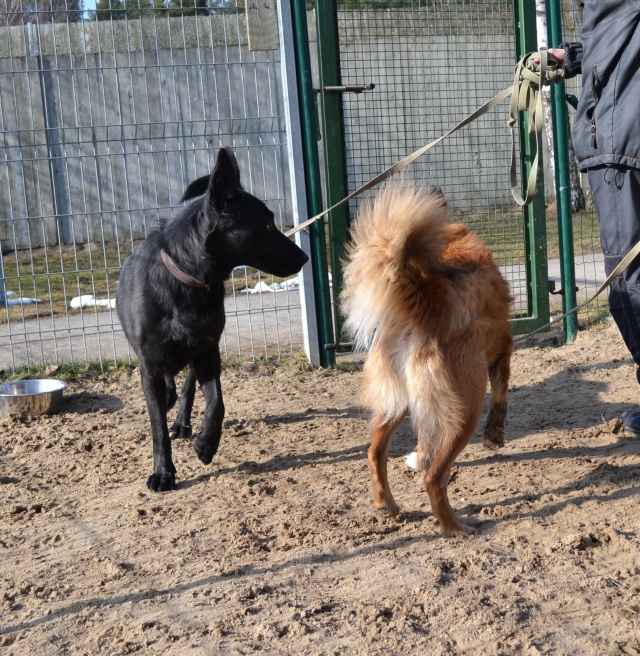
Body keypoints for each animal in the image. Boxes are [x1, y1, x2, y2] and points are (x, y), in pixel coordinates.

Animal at [116, 147, 308, 492]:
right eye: (267, 226)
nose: (305, 258)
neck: (187, 279)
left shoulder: (208, 350)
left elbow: (216, 402)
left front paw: (206, 444)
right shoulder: (149, 363)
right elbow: (157, 426)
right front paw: (163, 473)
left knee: (188, 385)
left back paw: (182, 422)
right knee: (169, 386)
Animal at [340, 184, 513, 536]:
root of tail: (423, 296)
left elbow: (424, 436)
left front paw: (418, 457)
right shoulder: (502, 347)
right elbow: (502, 389)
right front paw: (494, 435)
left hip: (400, 400)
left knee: (375, 451)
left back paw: (387, 504)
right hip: (466, 406)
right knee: (435, 478)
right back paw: (455, 527)